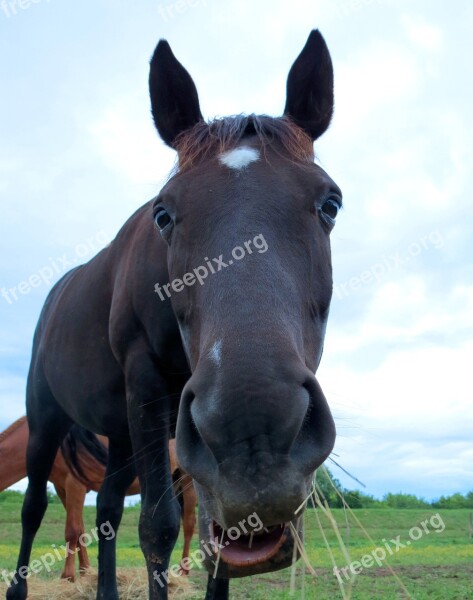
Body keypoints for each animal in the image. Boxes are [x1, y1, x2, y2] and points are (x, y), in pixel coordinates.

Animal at [0, 418, 195, 580]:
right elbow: (80, 530)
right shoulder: (62, 489)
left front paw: (67, 576)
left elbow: (71, 530)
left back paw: (184, 570)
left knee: (188, 524)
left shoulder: (75, 484)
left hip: (187, 481)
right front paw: (85, 570)